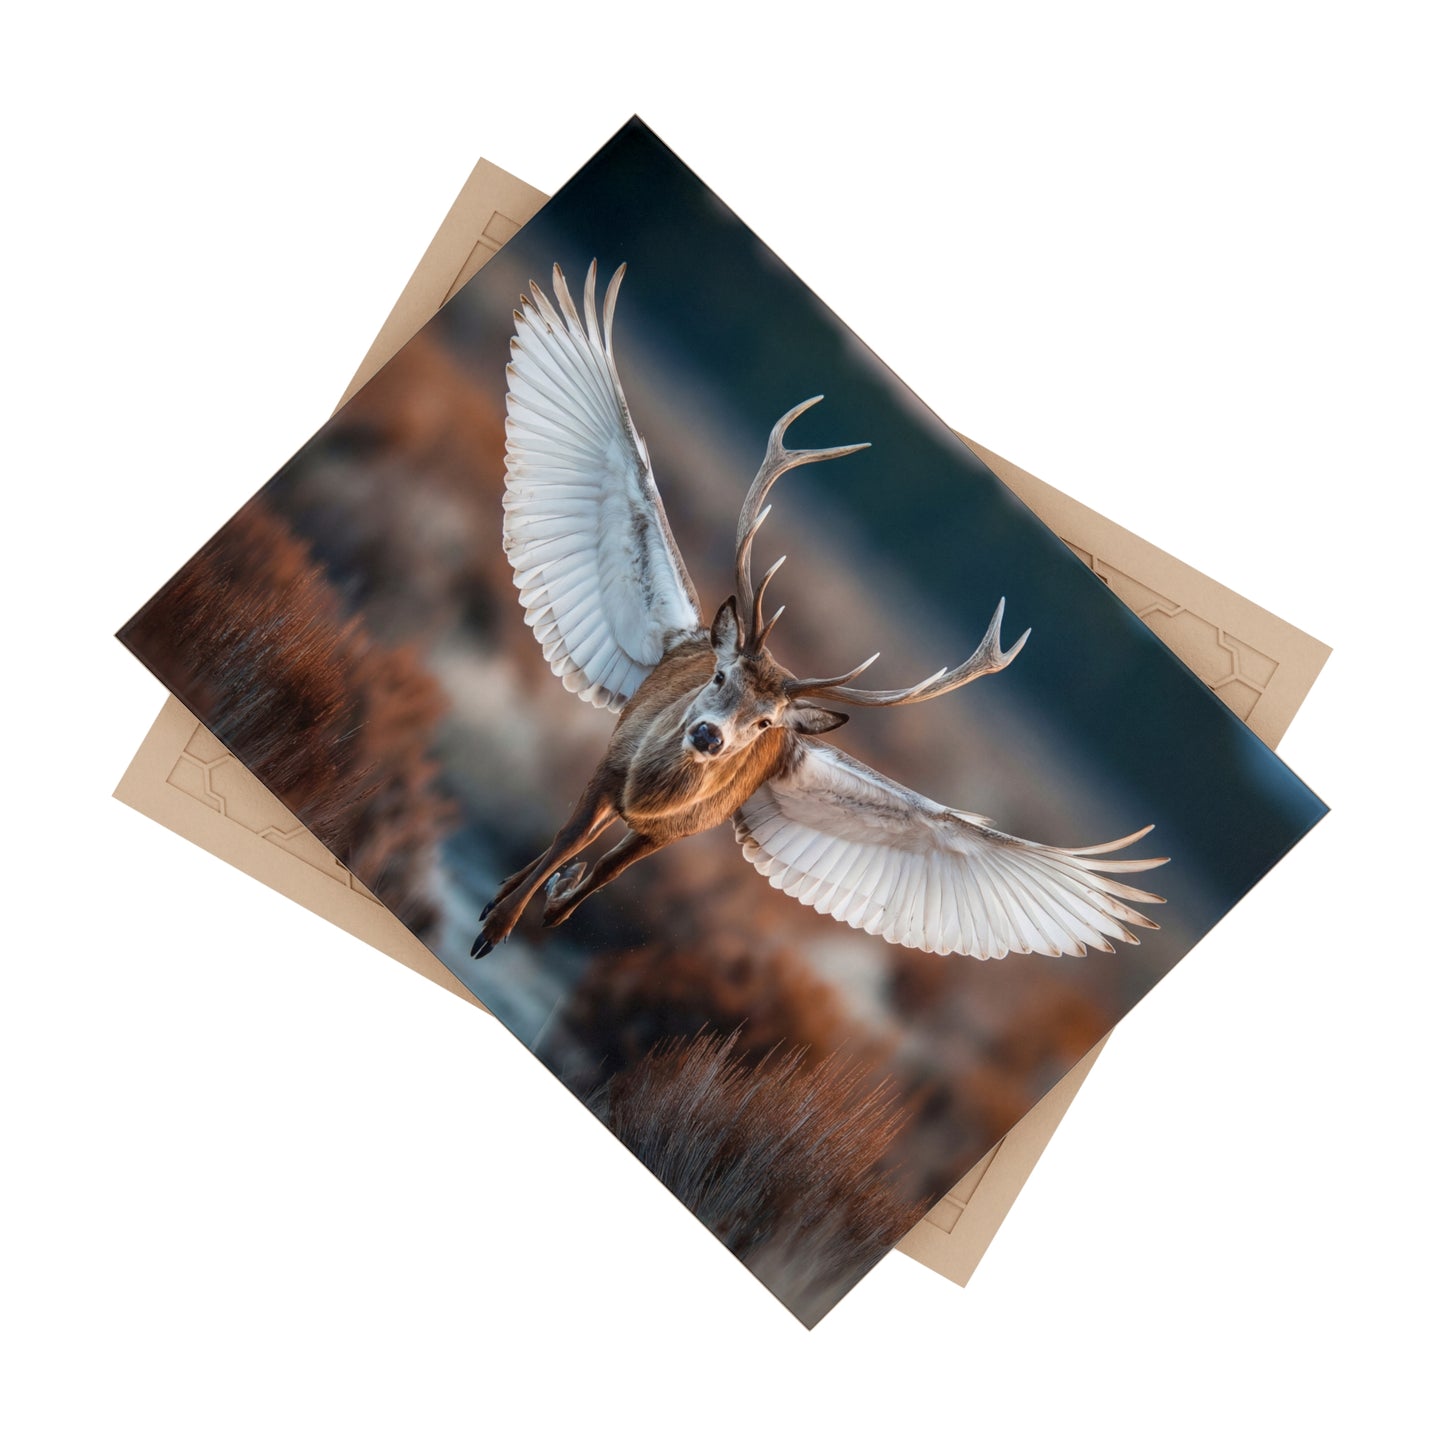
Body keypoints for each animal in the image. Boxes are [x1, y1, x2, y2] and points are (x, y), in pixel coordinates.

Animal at [471, 261, 1166, 961]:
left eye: (764, 725)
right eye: (719, 677)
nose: (708, 736)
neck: (650, 792)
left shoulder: (677, 828)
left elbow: (597, 879)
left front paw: (546, 902)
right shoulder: (611, 766)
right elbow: (566, 840)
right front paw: (498, 919)